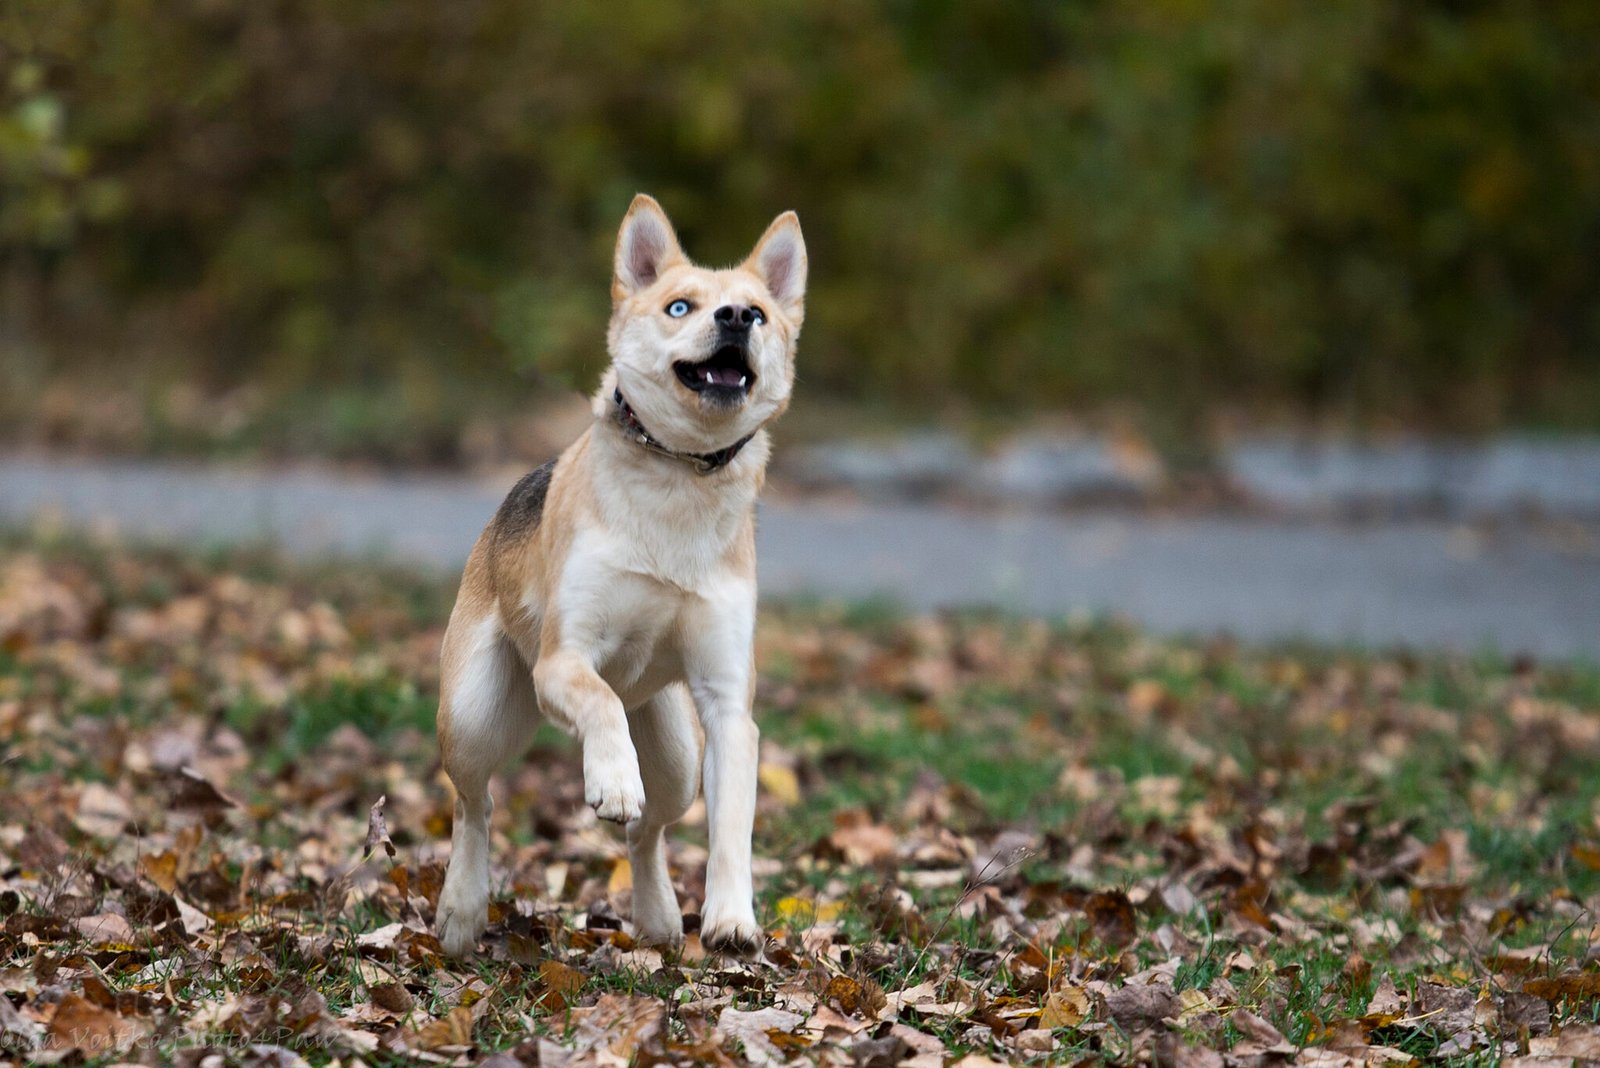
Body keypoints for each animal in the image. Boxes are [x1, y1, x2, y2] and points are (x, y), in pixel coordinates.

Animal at [432, 194, 806, 959]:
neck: (678, 476)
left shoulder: (728, 709)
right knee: (475, 803)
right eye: (680, 306)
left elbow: (731, 828)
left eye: (757, 312)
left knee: (651, 829)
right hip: (476, 713)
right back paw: (461, 908)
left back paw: (659, 917)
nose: (735, 318)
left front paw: (731, 919)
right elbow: (598, 702)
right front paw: (610, 779)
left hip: (678, 754)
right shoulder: (562, 662)